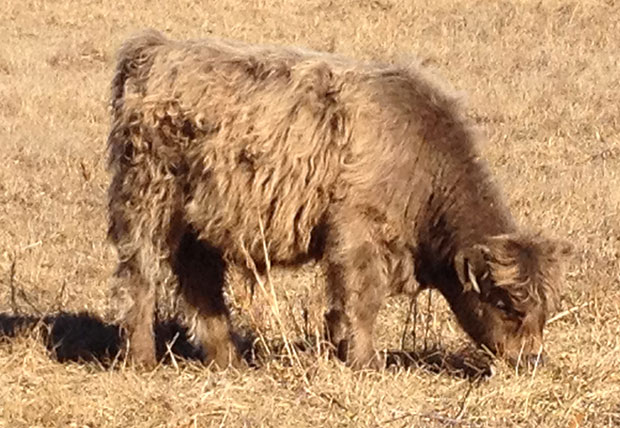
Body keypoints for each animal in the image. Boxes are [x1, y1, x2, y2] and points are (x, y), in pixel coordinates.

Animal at [106, 30, 572, 370]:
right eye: (506, 304)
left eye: (546, 308)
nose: (532, 359)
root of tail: (154, 48)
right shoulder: (357, 230)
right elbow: (362, 298)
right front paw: (366, 362)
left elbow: (338, 303)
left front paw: (341, 349)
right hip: (147, 197)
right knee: (140, 275)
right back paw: (142, 359)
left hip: (199, 221)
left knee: (200, 283)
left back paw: (228, 360)